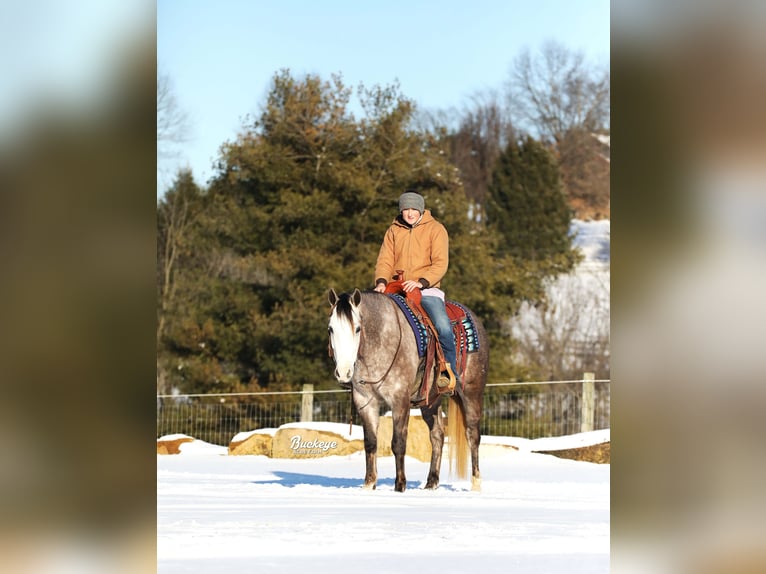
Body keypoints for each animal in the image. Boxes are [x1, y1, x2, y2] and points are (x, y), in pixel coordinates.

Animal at [328, 290, 488, 492]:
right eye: (331, 329)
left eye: (357, 329)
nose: (343, 372)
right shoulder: (365, 401)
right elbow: (370, 443)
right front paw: (369, 484)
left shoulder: (400, 400)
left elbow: (398, 443)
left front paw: (400, 485)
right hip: (431, 400)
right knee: (437, 435)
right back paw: (431, 482)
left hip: (472, 393)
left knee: (473, 435)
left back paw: (476, 483)